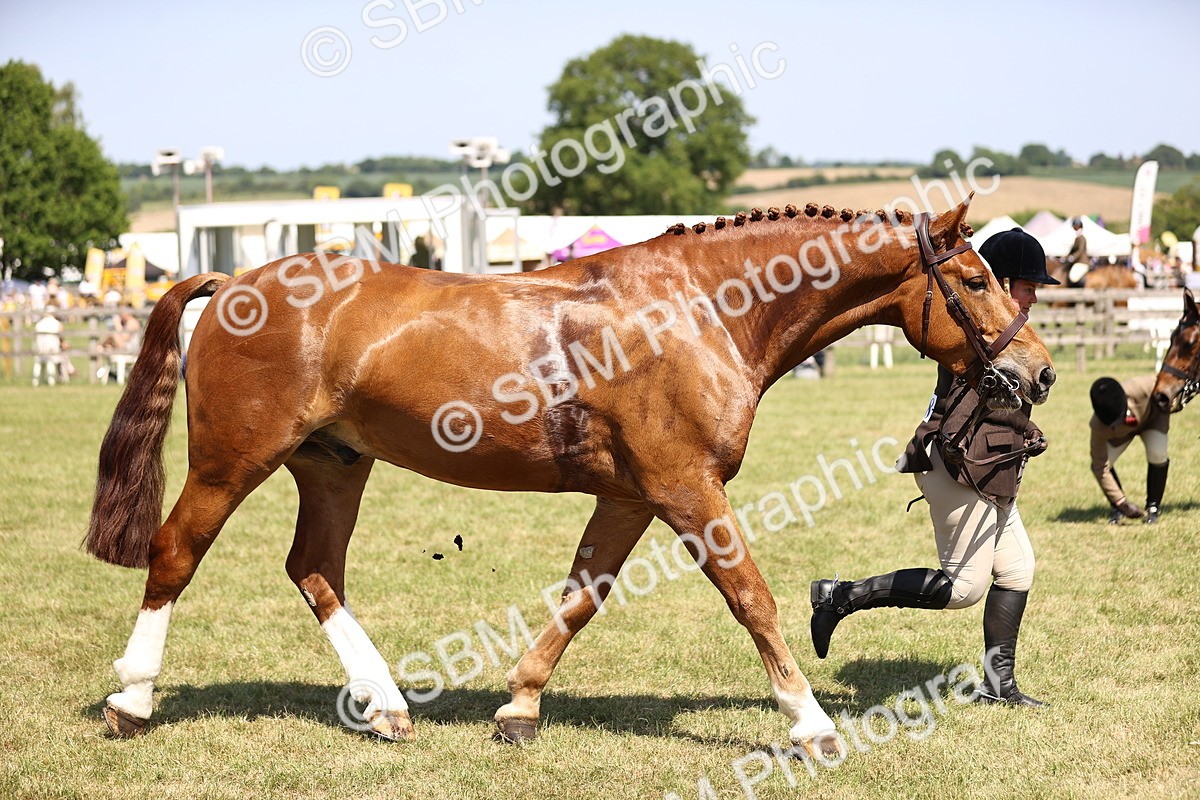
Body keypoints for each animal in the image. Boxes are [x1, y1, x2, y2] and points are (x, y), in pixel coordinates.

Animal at [87, 196, 1056, 761]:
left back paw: (389, 706)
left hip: (333, 466)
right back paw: (131, 700)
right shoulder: (687, 490)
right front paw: (810, 722)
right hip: (230, 463)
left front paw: (518, 707)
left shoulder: (630, 497)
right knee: (175, 554)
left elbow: (582, 596)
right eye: (975, 280)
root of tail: (232, 280)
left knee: (314, 570)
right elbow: (751, 596)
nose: (1041, 374)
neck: (702, 309)